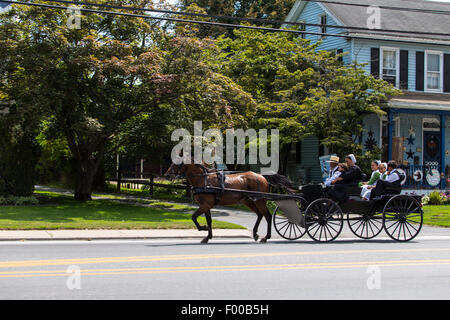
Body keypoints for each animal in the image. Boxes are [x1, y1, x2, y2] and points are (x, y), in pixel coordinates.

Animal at [163, 159, 294, 244]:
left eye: (176, 163)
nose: (166, 175)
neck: (203, 180)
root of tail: (261, 176)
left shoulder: (206, 205)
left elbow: (194, 217)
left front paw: (203, 228)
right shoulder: (206, 205)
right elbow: (209, 221)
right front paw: (208, 236)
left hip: (260, 200)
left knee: (267, 216)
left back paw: (266, 237)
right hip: (248, 201)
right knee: (260, 214)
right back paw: (255, 234)